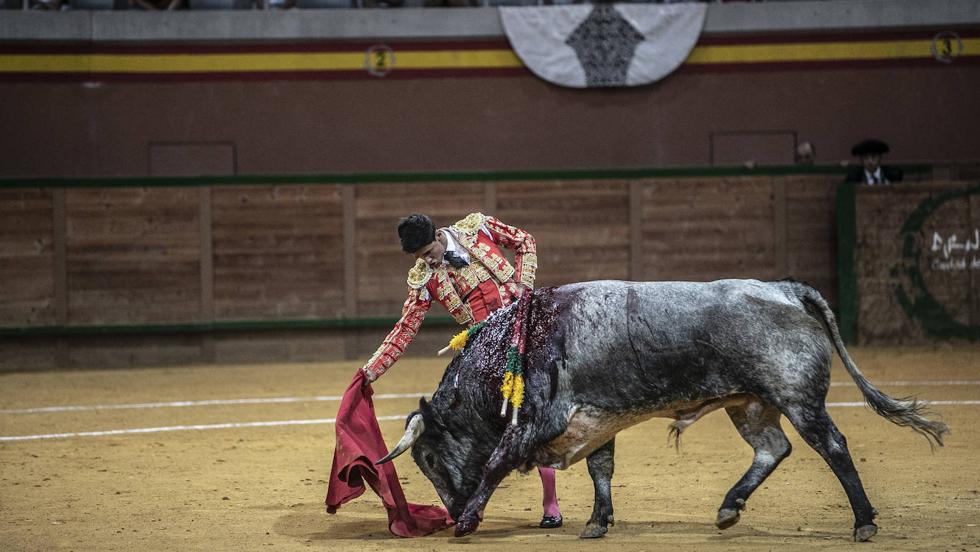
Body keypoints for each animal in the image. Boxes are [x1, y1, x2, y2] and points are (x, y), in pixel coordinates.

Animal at [378, 278, 948, 540]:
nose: (451, 509)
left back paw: (864, 522)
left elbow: (496, 462)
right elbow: (602, 470)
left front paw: (468, 521)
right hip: (752, 405)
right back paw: (729, 507)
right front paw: (598, 522)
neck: (508, 352)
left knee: (832, 446)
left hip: (798, 399)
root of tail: (785, 288)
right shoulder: (596, 421)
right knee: (773, 448)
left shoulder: (539, 421)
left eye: (428, 458)